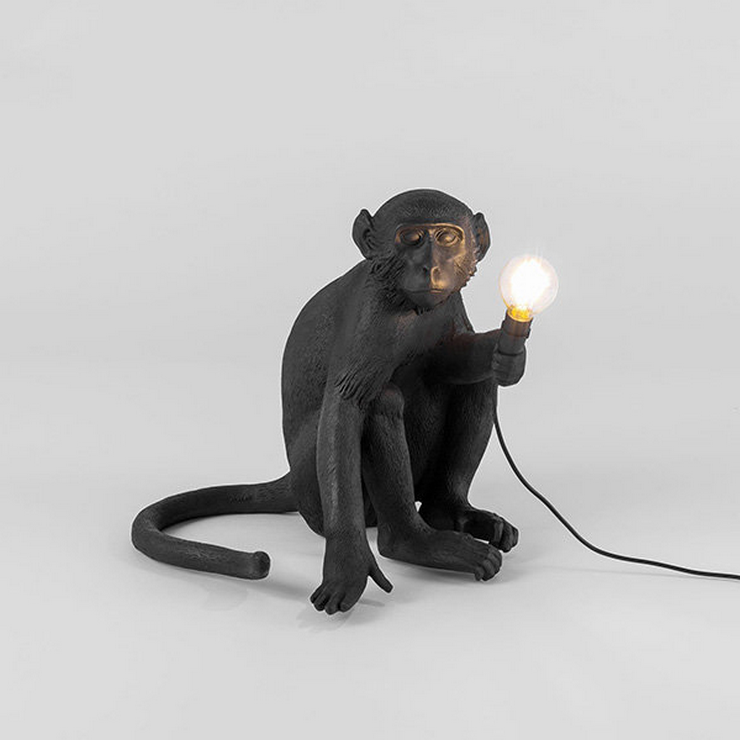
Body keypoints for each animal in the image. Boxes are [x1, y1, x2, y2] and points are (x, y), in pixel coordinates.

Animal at [132, 189, 526, 614]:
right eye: (412, 238)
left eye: (448, 238)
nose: (431, 268)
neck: (407, 302)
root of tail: (291, 479)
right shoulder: (372, 316)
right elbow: (347, 406)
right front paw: (347, 561)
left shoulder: (449, 303)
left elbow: (453, 359)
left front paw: (504, 352)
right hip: (314, 490)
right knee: (381, 401)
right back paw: (411, 542)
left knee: (475, 385)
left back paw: (449, 511)